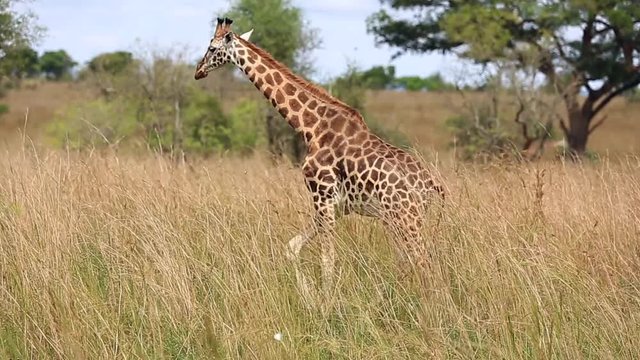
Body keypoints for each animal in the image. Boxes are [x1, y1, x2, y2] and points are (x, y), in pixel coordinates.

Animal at [195, 16, 444, 298]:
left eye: (212, 48)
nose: (198, 70)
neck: (310, 126)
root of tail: (430, 185)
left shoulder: (321, 195)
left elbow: (327, 259)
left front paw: (325, 303)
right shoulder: (337, 205)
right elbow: (292, 248)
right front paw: (309, 295)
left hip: (406, 216)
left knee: (424, 261)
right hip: (399, 218)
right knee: (412, 259)